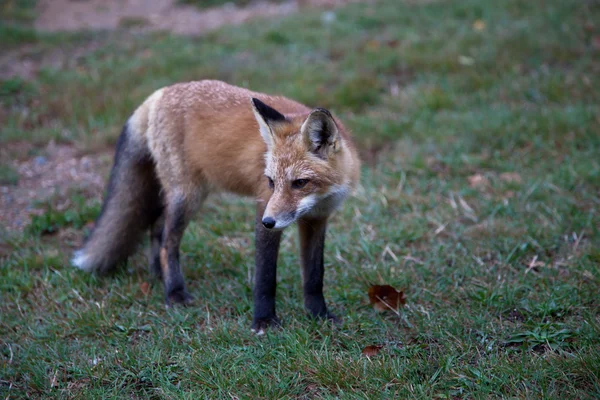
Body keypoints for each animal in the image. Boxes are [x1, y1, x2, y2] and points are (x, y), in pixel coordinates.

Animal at [72, 79, 358, 332]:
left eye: (300, 183)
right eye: (271, 181)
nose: (269, 222)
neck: (321, 197)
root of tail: (159, 94)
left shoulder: (317, 220)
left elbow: (314, 275)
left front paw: (319, 315)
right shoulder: (264, 207)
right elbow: (265, 277)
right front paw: (263, 322)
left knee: (157, 229)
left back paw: (159, 277)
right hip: (187, 196)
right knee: (167, 243)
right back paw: (174, 293)